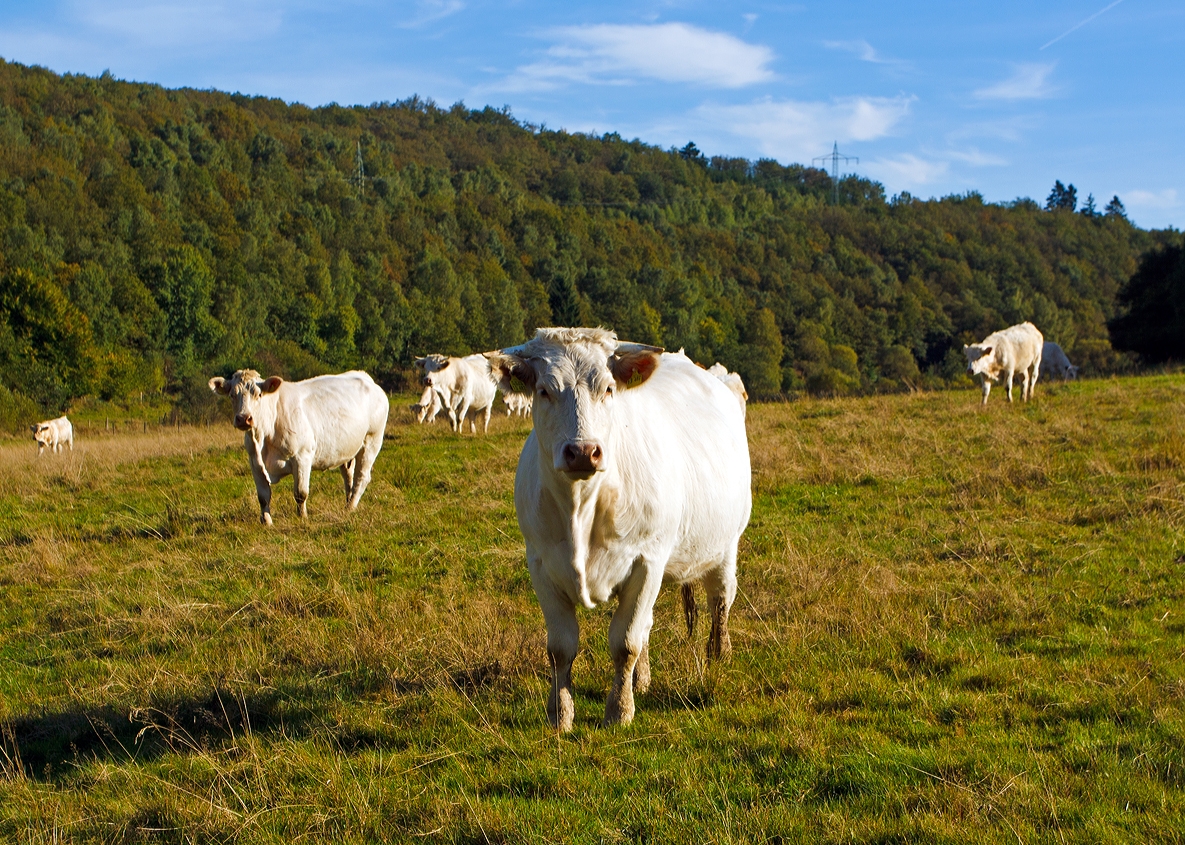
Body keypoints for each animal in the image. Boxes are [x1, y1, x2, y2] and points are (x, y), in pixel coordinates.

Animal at [206, 367, 386, 521]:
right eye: (232, 395)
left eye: (259, 394)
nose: (244, 418)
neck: (263, 438)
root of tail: (364, 376)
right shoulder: (255, 462)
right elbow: (263, 497)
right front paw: (267, 521)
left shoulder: (302, 457)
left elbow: (300, 493)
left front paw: (302, 517)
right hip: (348, 449)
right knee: (349, 476)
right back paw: (347, 503)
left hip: (372, 441)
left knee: (361, 477)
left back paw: (350, 508)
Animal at [483, 327, 748, 730]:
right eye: (544, 390)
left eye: (608, 389)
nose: (582, 451)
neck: (581, 507)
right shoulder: (541, 564)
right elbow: (561, 647)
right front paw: (560, 714)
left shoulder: (647, 561)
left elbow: (625, 643)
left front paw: (619, 712)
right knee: (650, 622)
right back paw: (643, 680)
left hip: (725, 544)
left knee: (720, 600)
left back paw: (720, 655)